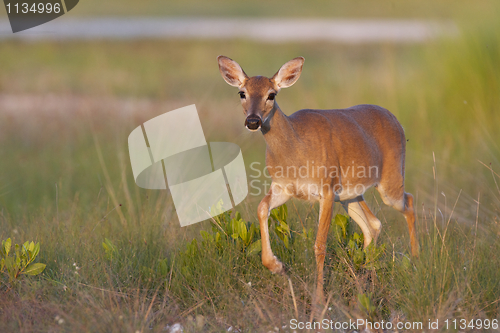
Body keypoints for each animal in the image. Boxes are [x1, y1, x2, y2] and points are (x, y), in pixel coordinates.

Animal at [219, 54, 418, 306]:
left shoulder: (326, 190)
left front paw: (320, 298)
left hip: (389, 181)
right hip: (350, 195)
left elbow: (320, 244)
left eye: (272, 94)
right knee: (373, 224)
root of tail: (395, 119)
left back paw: (416, 261)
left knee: (408, 202)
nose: (253, 121)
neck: (296, 149)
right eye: (242, 93)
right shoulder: (284, 187)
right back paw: (365, 279)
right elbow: (262, 208)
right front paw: (277, 265)